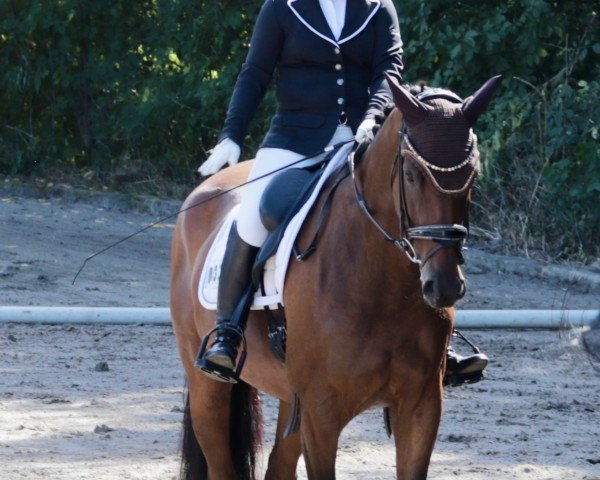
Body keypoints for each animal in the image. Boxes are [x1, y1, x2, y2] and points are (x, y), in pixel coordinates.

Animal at [169, 73, 502, 478]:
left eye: (473, 175)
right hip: (207, 385)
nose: (445, 286)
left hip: (289, 397)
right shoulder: (321, 414)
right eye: (410, 174)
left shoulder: (421, 406)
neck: (381, 283)